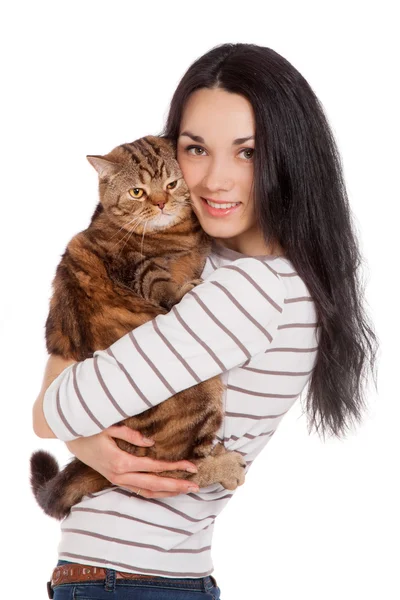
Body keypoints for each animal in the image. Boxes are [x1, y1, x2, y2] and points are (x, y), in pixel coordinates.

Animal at [29, 134, 245, 516]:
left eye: (171, 184)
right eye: (137, 192)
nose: (161, 203)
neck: (175, 233)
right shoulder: (127, 263)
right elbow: (156, 279)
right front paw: (182, 289)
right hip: (201, 393)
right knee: (173, 471)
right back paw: (223, 467)